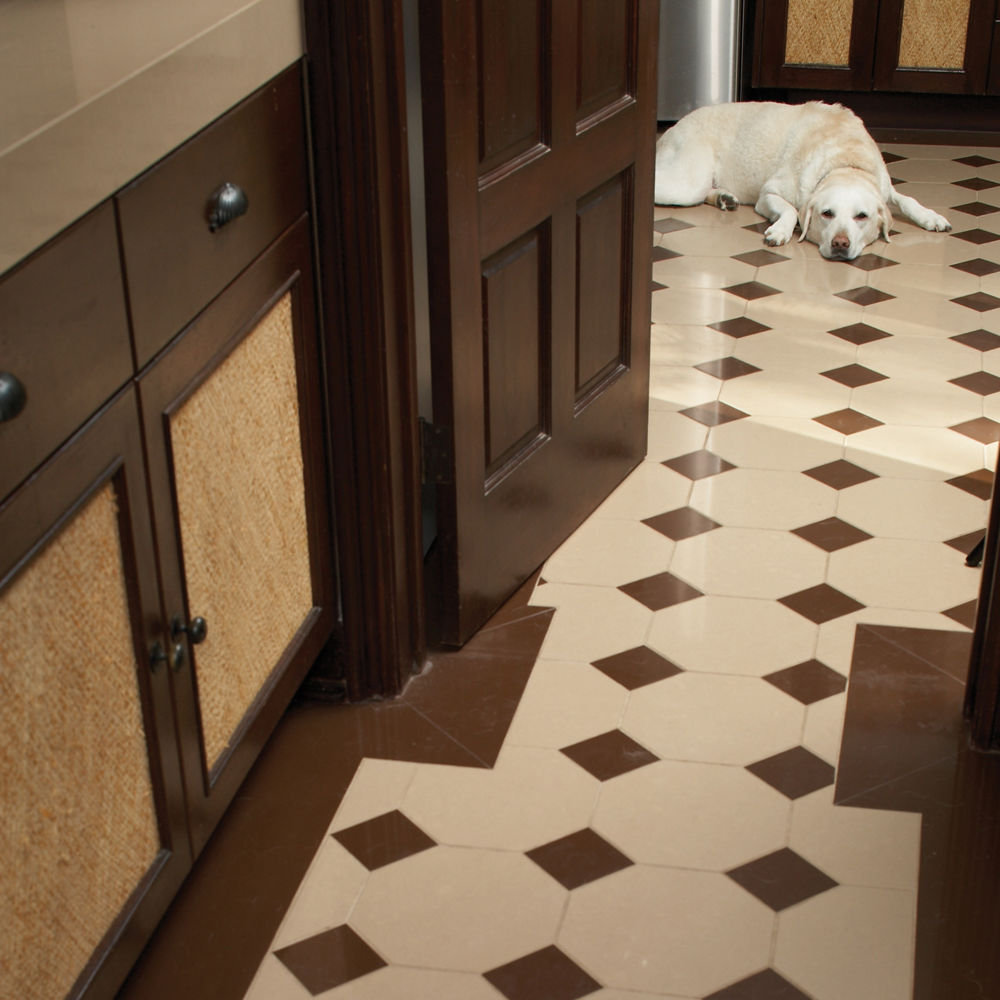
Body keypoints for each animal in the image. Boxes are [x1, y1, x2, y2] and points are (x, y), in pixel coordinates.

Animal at [652, 98, 948, 258]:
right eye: (827, 214)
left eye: (861, 216)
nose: (840, 244)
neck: (847, 162)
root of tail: (672, 128)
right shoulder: (768, 194)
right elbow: (792, 210)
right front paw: (780, 231)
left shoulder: (884, 188)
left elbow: (906, 199)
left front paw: (930, 217)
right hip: (687, 183)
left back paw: (725, 198)